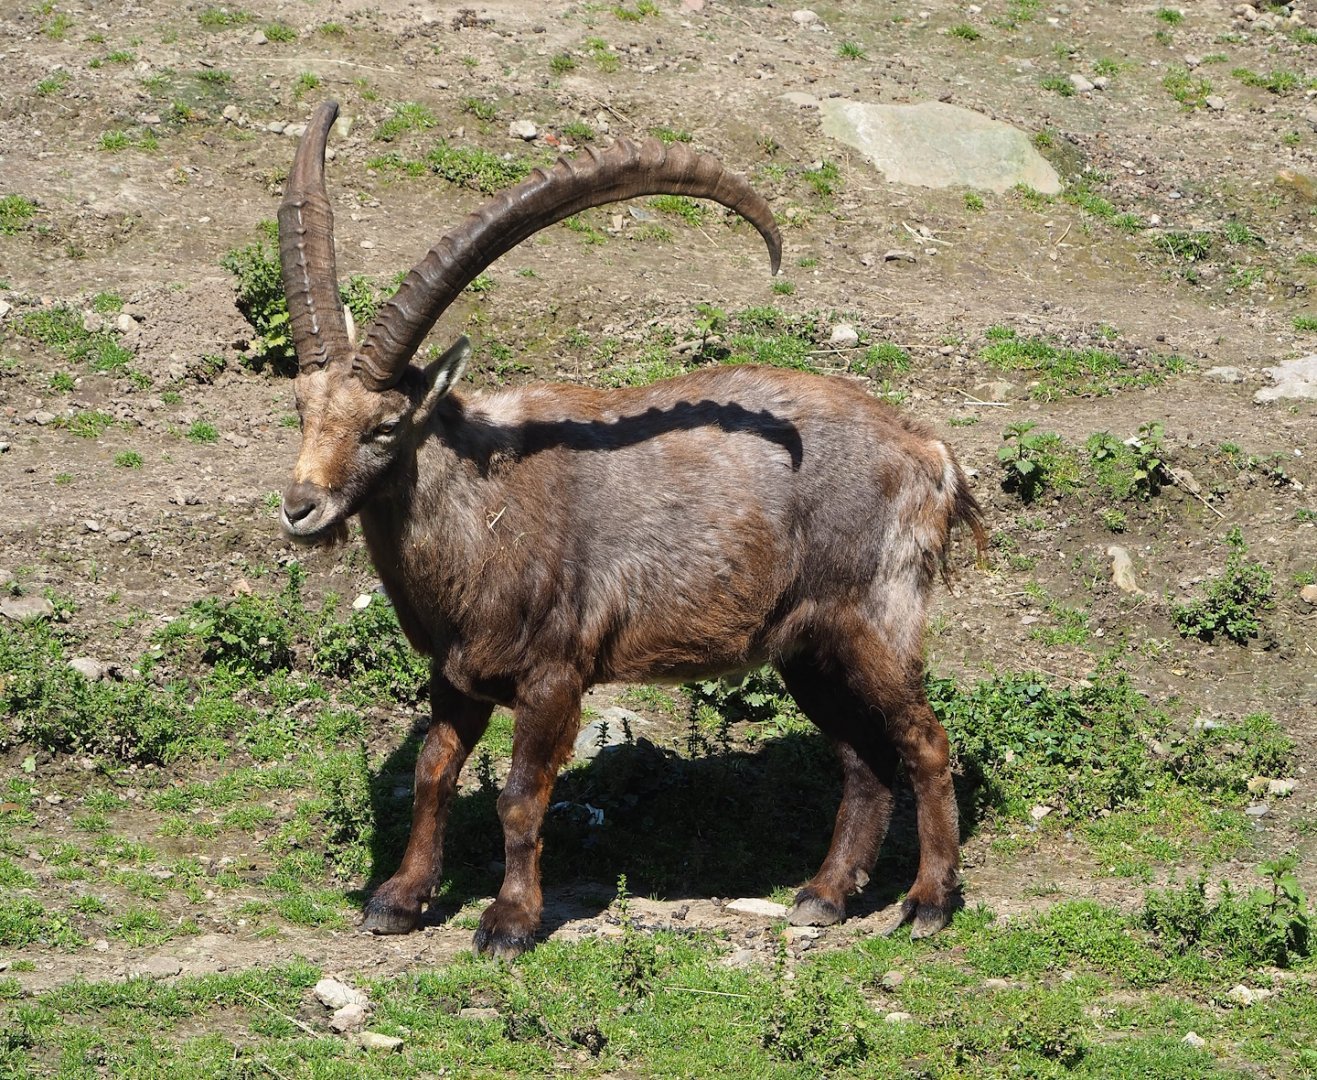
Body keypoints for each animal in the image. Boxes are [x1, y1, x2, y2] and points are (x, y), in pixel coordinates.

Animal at [278, 101, 986, 958]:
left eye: (384, 426)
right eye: (300, 408)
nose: (300, 508)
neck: (481, 518)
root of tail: (929, 455)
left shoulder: (555, 672)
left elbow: (520, 795)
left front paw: (508, 922)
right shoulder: (456, 676)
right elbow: (431, 773)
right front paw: (399, 899)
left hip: (876, 623)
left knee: (924, 741)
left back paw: (927, 902)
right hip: (808, 651)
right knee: (862, 759)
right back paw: (823, 895)